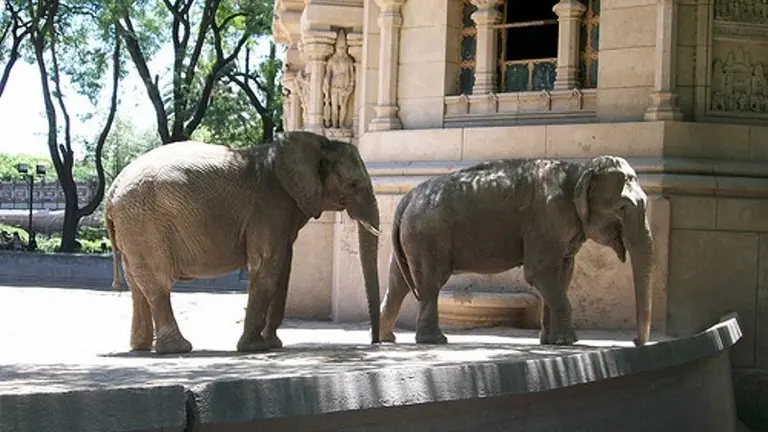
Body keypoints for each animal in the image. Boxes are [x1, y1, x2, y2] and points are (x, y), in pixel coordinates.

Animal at [104, 131, 382, 354]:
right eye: (353, 185)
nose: (374, 342)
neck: (318, 144)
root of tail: (112, 191)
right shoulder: (269, 205)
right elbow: (267, 264)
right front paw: (255, 348)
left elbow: (283, 269)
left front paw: (273, 345)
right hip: (145, 222)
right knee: (157, 282)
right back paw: (177, 349)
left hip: (132, 226)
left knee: (138, 284)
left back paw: (140, 347)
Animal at [379, 156, 653, 347]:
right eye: (622, 207)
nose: (635, 342)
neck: (579, 170)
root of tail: (406, 198)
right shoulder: (548, 219)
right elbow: (539, 273)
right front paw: (568, 341)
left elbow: (563, 275)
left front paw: (550, 341)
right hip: (427, 235)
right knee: (430, 283)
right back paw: (434, 340)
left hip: (412, 238)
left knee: (398, 284)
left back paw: (387, 338)